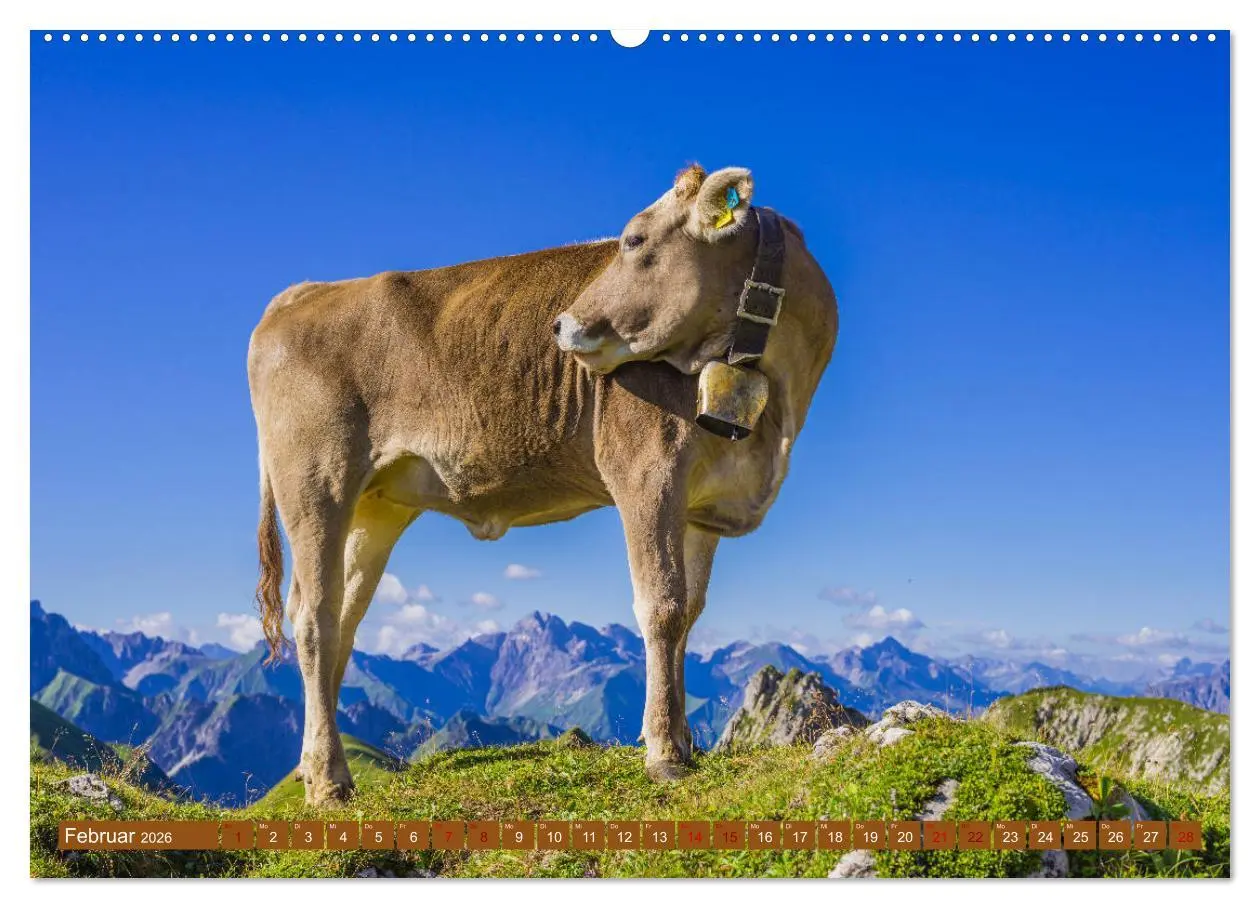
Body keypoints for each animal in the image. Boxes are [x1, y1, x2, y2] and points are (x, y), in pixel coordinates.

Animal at [247, 164, 838, 804]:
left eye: (633, 240)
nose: (560, 323)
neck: (776, 406)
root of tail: (303, 292)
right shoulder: (646, 474)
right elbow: (661, 606)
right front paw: (663, 752)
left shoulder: (703, 507)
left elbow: (690, 613)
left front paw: (684, 741)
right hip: (316, 481)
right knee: (314, 617)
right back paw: (329, 778)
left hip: (374, 506)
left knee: (342, 618)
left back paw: (311, 767)